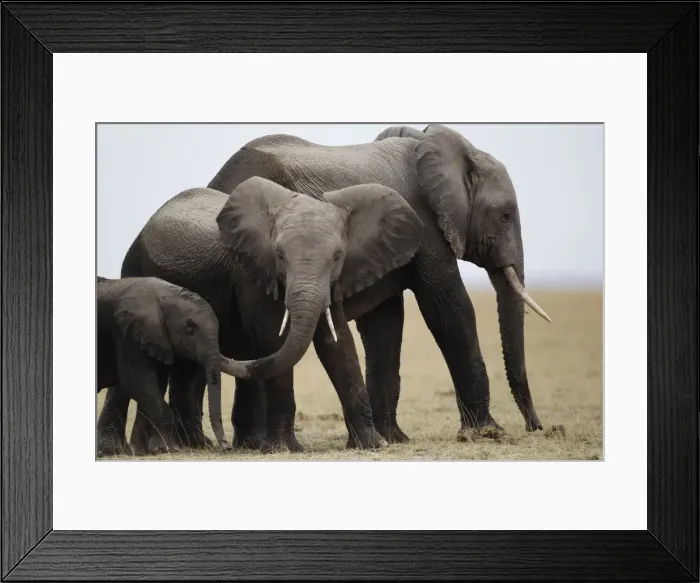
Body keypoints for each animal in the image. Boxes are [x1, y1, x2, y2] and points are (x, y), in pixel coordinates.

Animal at [97, 275, 239, 455]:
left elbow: (155, 385)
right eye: (190, 331)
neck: (164, 295)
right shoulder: (128, 335)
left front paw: (152, 449)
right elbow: (136, 382)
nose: (227, 447)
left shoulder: (159, 341)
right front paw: (169, 448)